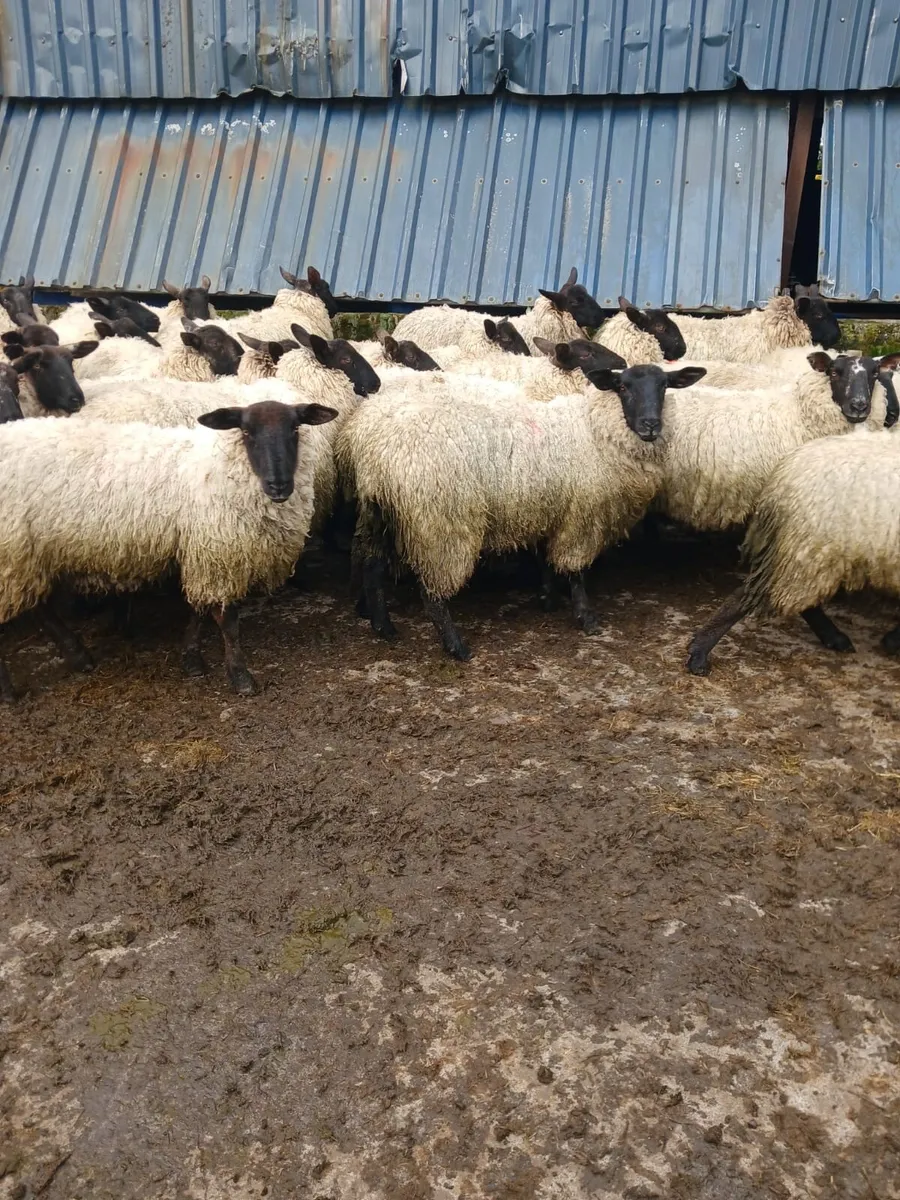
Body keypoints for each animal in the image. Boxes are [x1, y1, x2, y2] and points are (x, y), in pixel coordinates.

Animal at [0, 400, 338, 700]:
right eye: (246, 431)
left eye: (295, 428)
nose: (278, 485)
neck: (222, 471)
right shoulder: (216, 554)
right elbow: (227, 621)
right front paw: (240, 676)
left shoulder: (201, 551)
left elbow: (198, 610)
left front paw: (191, 659)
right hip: (13, 554)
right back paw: (10, 694)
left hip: (27, 555)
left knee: (40, 606)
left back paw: (78, 656)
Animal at [339, 363, 706, 660]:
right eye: (623, 387)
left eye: (665, 386)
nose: (650, 425)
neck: (594, 432)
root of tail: (373, 443)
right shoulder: (582, 517)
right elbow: (576, 572)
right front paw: (586, 617)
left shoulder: (550, 510)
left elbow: (546, 559)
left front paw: (547, 599)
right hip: (441, 519)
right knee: (432, 592)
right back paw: (456, 646)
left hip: (378, 508)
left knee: (371, 565)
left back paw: (383, 627)